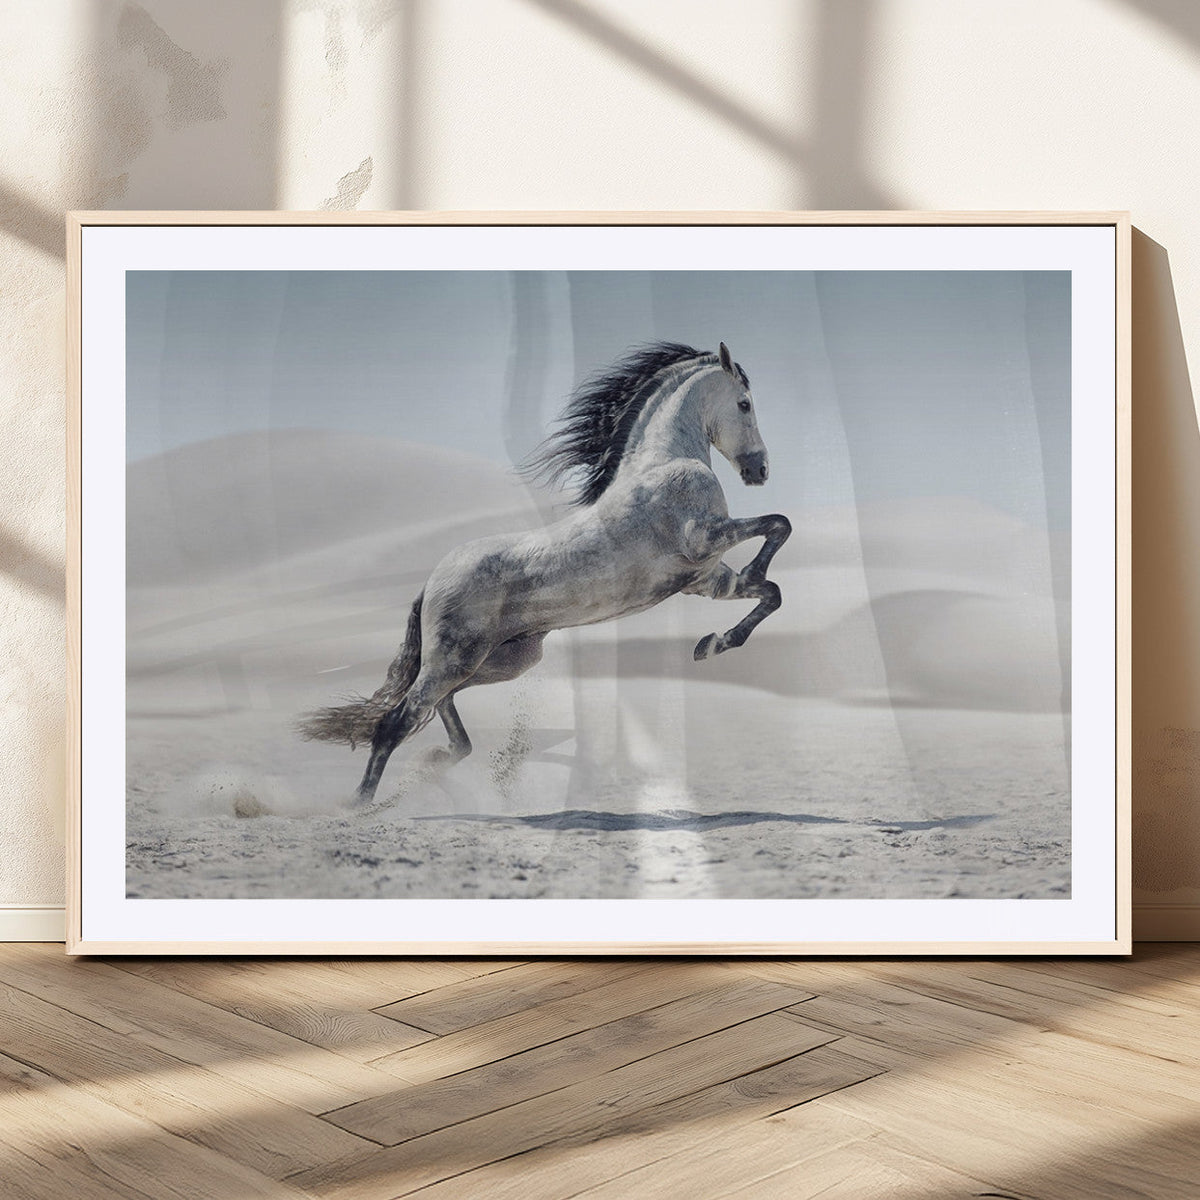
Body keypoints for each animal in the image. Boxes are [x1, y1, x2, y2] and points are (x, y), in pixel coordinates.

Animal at [299, 340, 792, 806]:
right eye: (744, 403)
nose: (760, 469)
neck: (664, 463)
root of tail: (431, 582)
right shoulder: (703, 538)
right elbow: (778, 524)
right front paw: (732, 608)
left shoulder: (705, 579)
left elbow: (771, 591)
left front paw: (712, 644)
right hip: (455, 659)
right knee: (397, 720)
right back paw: (360, 805)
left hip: (503, 660)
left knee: (440, 706)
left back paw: (437, 760)